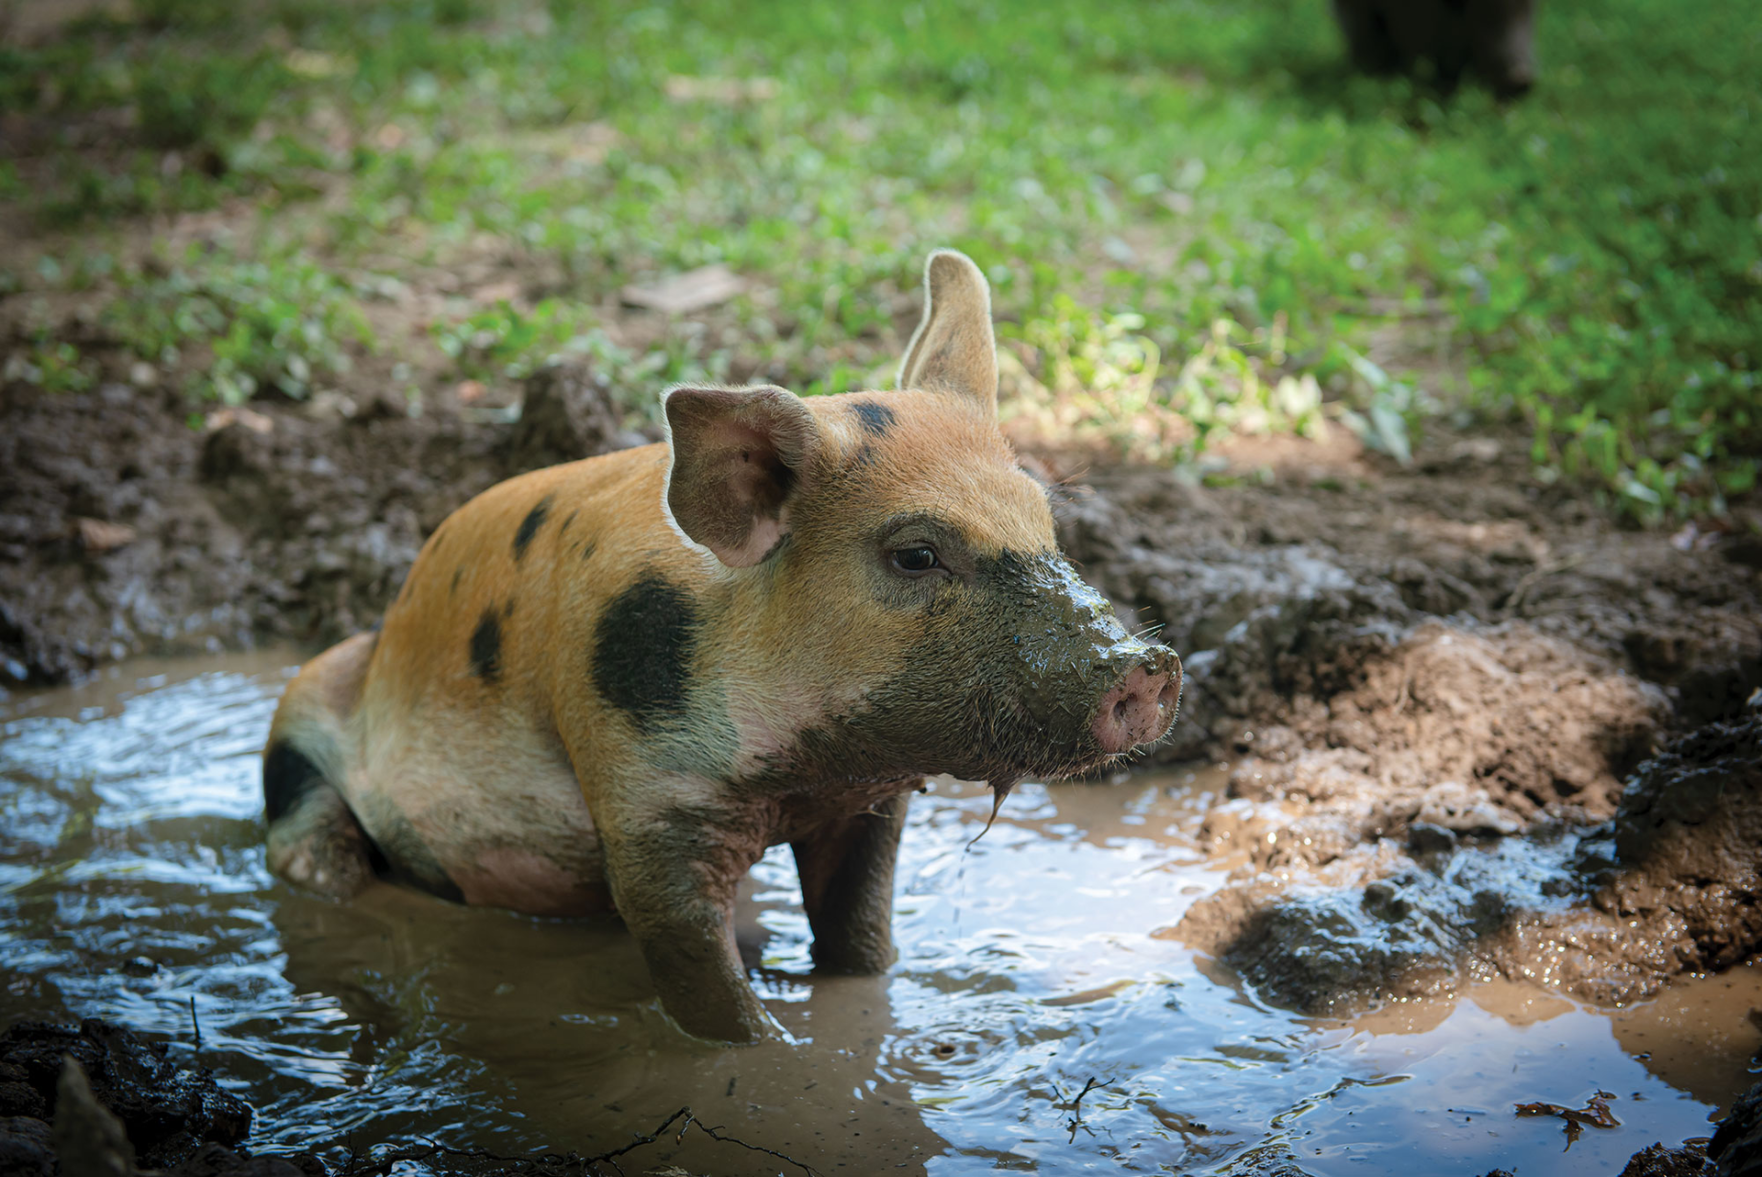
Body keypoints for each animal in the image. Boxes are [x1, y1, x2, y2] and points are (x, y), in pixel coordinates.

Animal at [261, 250, 1183, 1043]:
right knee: (311, 850)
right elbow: (689, 953)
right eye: (916, 554)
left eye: (1046, 520)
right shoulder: (637, 787)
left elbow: (859, 937)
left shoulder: (868, 803)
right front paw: (766, 1052)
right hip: (304, 704)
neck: (806, 773)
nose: (1149, 667)